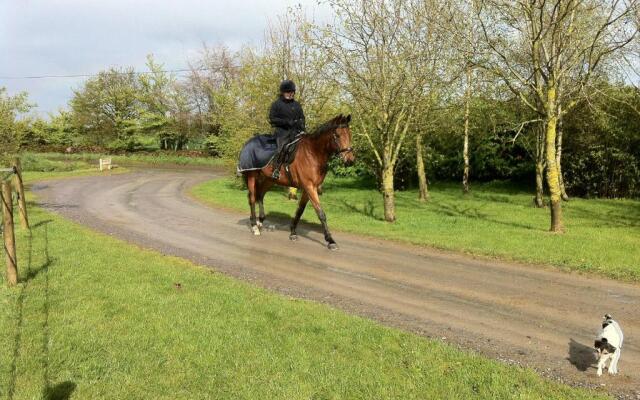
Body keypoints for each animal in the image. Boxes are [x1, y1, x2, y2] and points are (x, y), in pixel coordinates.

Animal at [244, 113, 358, 250]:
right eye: (337, 135)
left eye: (349, 134)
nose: (350, 160)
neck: (313, 153)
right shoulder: (309, 187)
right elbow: (321, 213)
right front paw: (330, 240)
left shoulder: (309, 188)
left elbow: (300, 210)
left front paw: (293, 232)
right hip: (252, 176)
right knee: (252, 198)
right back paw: (254, 226)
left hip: (268, 179)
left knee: (260, 195)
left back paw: (260, 221)